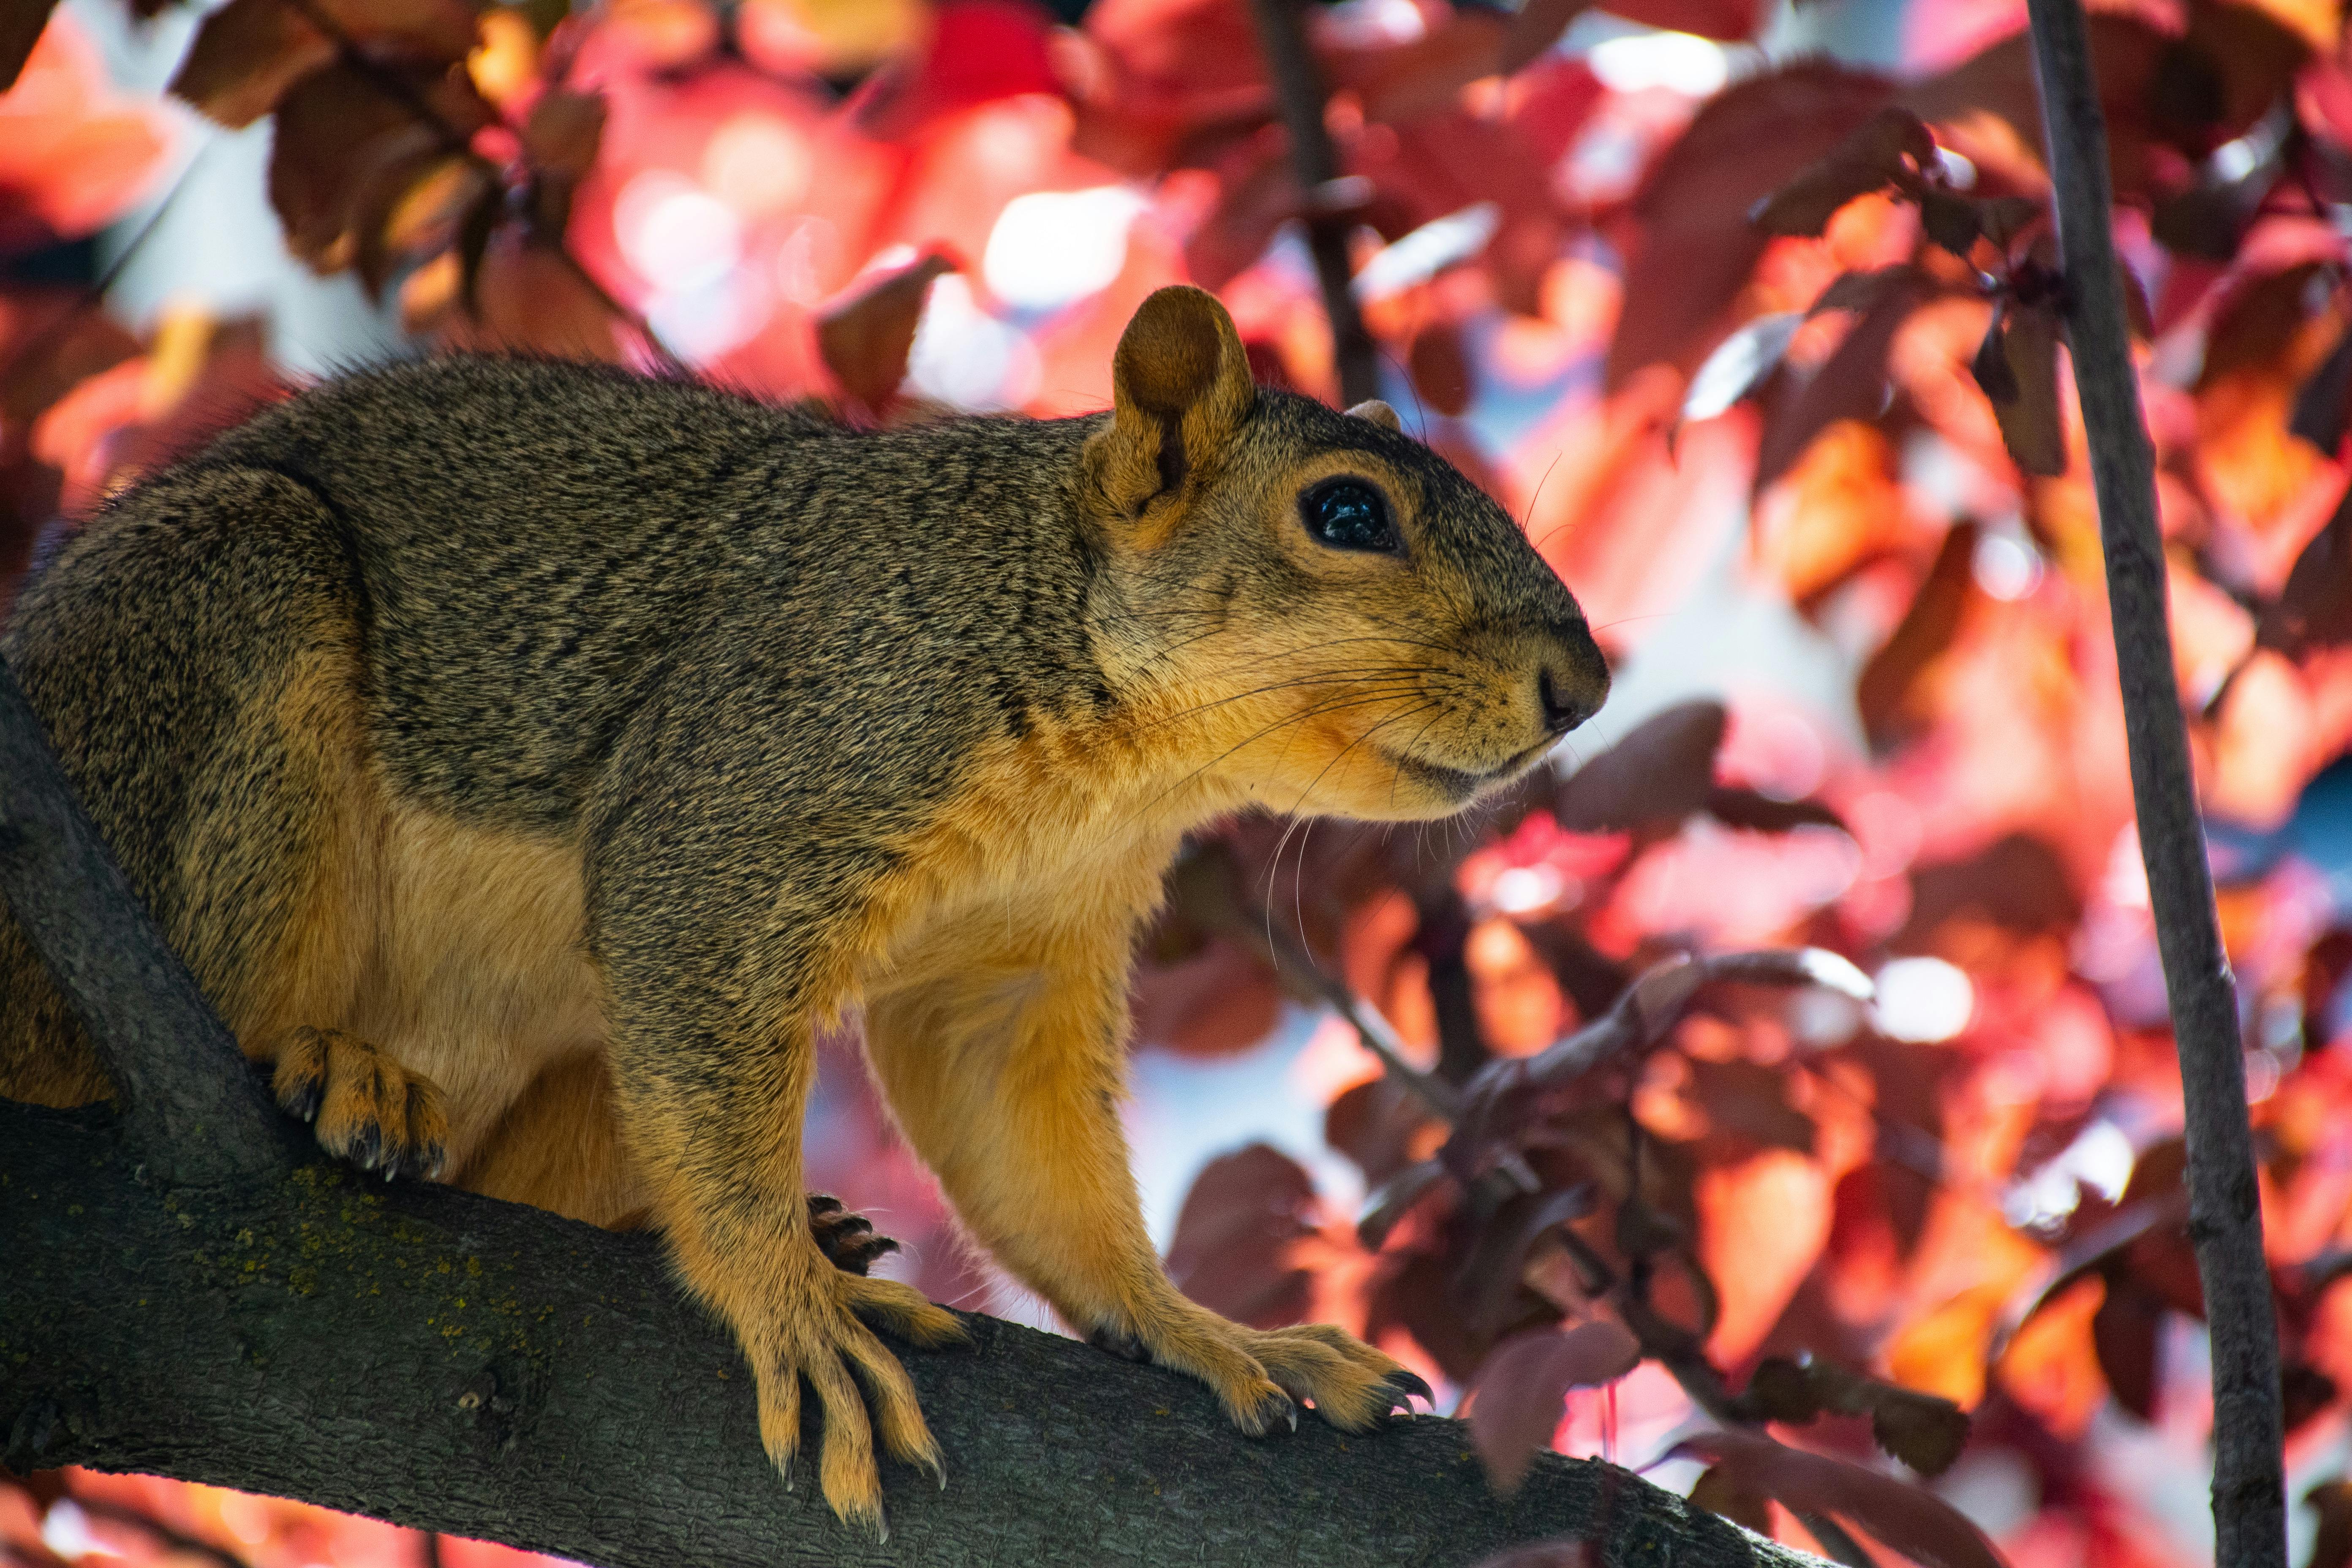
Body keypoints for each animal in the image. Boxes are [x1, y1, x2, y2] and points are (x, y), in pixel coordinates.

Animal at [0, 286, 1609, 1533]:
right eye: (1344, 512)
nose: (1582, 686)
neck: (1113, 766)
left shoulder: (1014, 952)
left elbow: (1021, 1150)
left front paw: (1201, 1328)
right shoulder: (754, 780)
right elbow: (695, 953)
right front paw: (787, 1301)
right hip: (217, 620)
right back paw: (336, 1066)